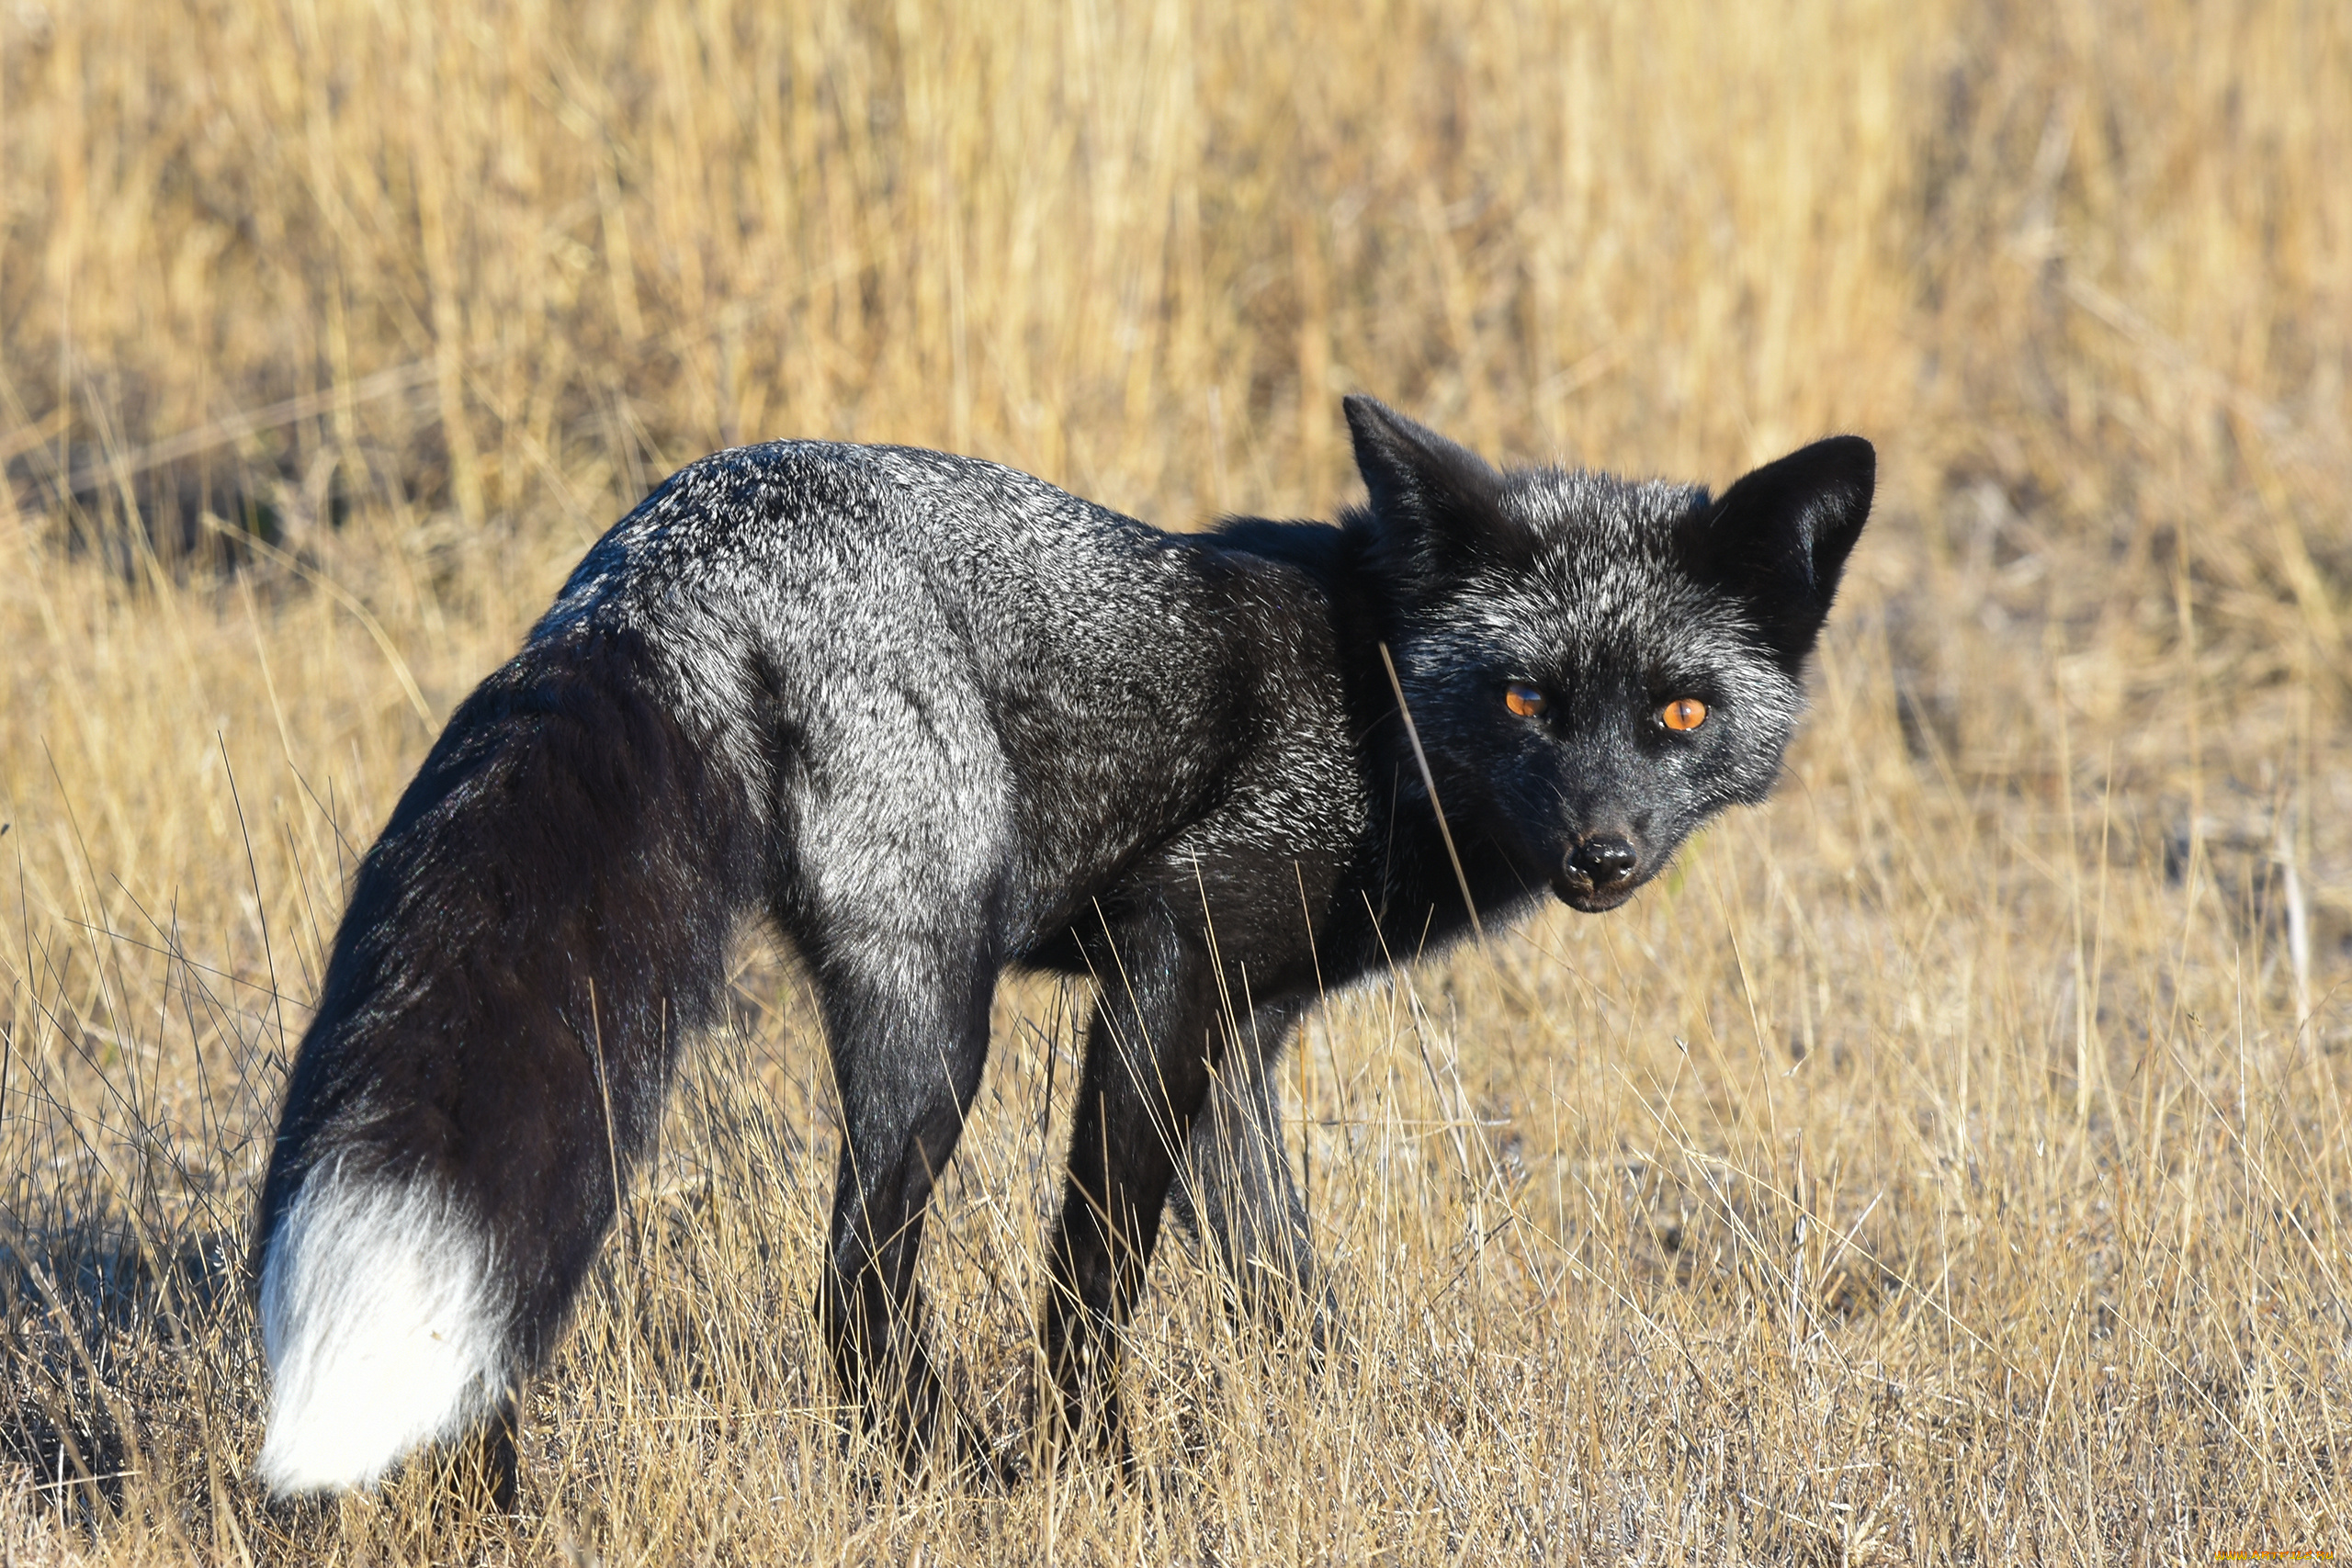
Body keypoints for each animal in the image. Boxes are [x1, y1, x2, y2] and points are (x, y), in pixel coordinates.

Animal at [251, 395, 1873, 1500]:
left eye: (1677, 712)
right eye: (1530, 699)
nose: (1601, 852)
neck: (1373, 696)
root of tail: (677, 532)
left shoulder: (1246, 1028)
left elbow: (1282, 1281)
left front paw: (1346, 1429)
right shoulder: (1172, 953)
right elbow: (1095, 1273)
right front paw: (1098, 1473)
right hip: (937, 1019)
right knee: (854, 1276)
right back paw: (941, 1476)